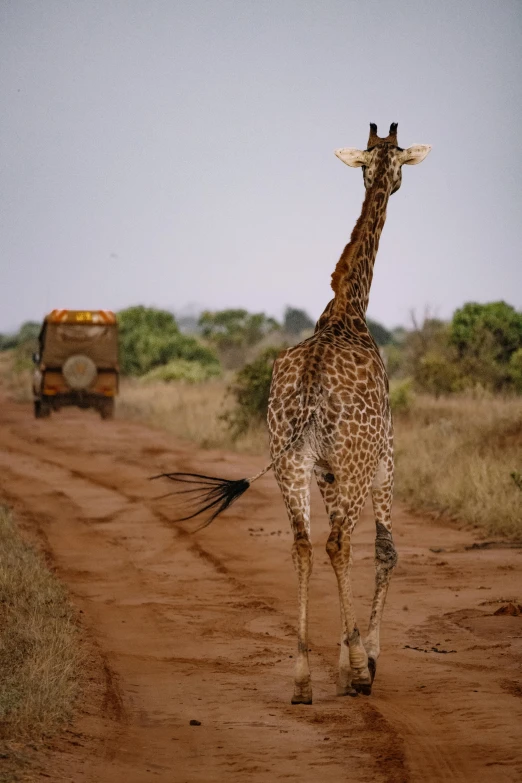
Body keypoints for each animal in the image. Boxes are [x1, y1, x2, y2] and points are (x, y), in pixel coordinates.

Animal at [155, 121, 430, 704]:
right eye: (395, 161)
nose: (393, 184)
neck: (348, 311)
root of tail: (309, 390)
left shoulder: (321, 468)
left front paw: (341, 655)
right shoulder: (386, 456)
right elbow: (386, 549)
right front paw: (363, 660)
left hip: (289, 460)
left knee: (304, 544)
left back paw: (303, 677)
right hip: (353, 462)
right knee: (338, 542)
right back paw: (357, 672)